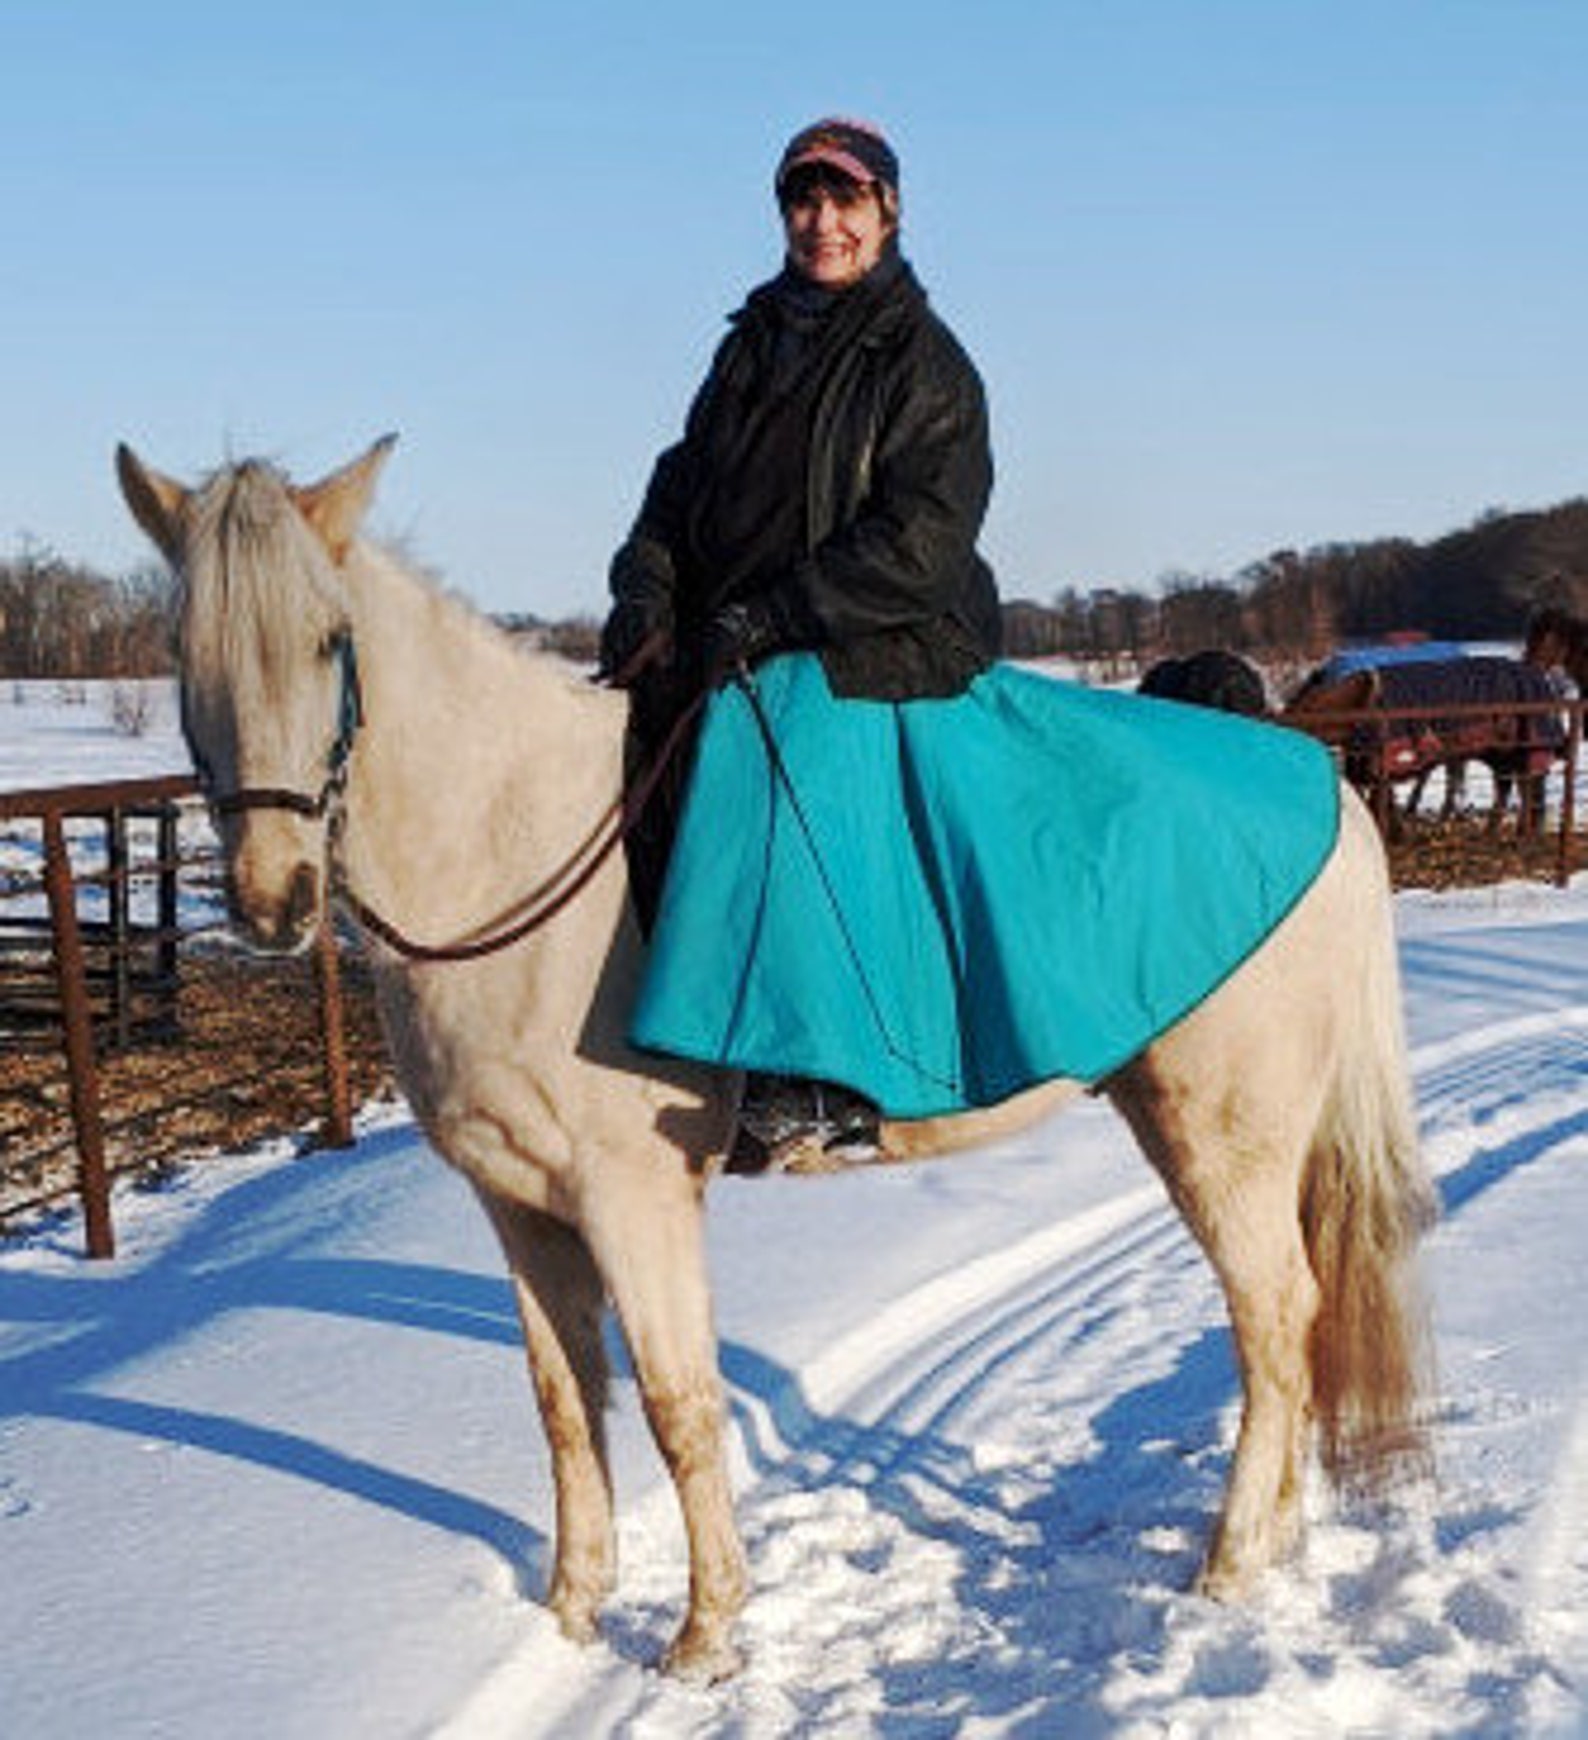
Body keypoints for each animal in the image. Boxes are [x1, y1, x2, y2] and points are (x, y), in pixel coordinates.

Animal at [116, 437, 1434, 1681]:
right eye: (182, 648)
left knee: (1274, 1314)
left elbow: (676, 1402)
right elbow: (561, 1405)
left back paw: (1228, 1566)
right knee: (1291, 1322)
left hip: (1222, 1127)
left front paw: (704, 1638)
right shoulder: (519, 1204)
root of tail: (1324, 790)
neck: (508, 849)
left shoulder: (631, 1194)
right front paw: (572, 1616)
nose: (271, 900)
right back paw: (1273, 1541)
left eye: (328, 639)